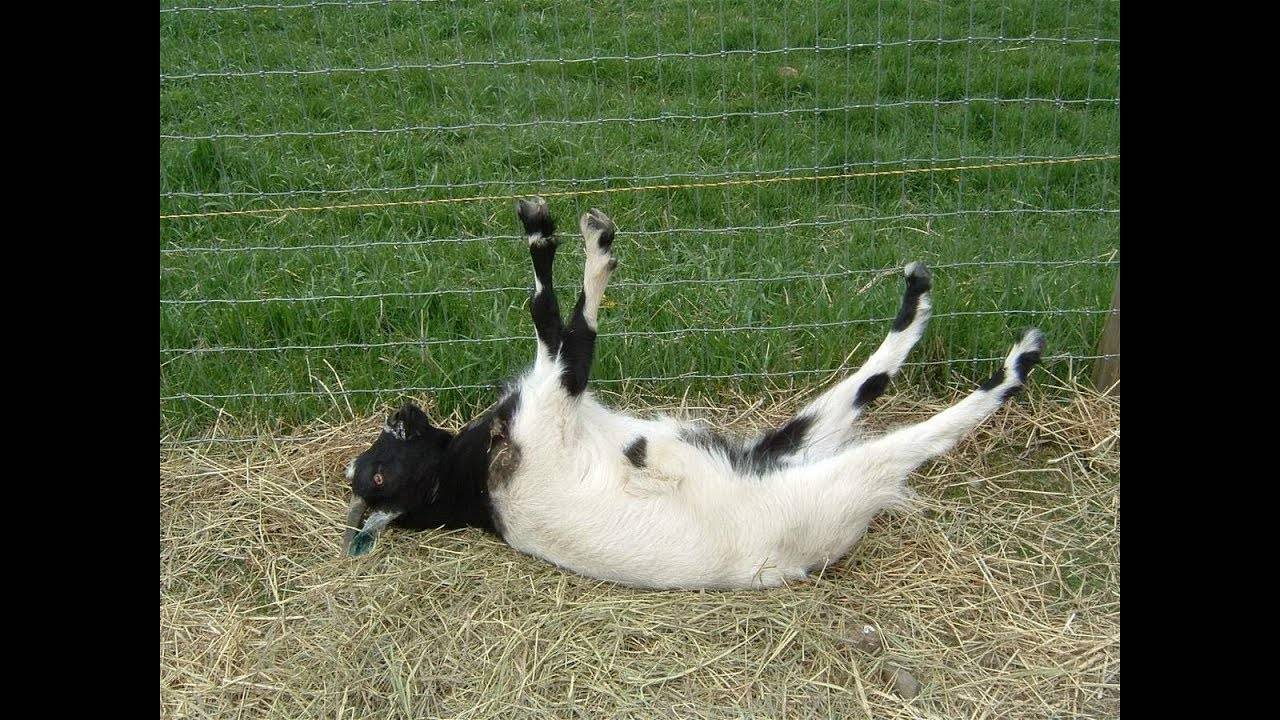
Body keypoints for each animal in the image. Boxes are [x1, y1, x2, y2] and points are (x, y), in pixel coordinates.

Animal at [341, 197, 1044, 590]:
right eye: (376, 477)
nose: (402, 413)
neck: (473, 482)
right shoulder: (554, 402)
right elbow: (565, 326)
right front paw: (582, 240)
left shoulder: (555, 396)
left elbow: (550, 321)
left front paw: (549, 229)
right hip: (825, 482)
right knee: (909, 441)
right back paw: (1017, 361)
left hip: (776, 445)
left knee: (864, 384)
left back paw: (918, 297)